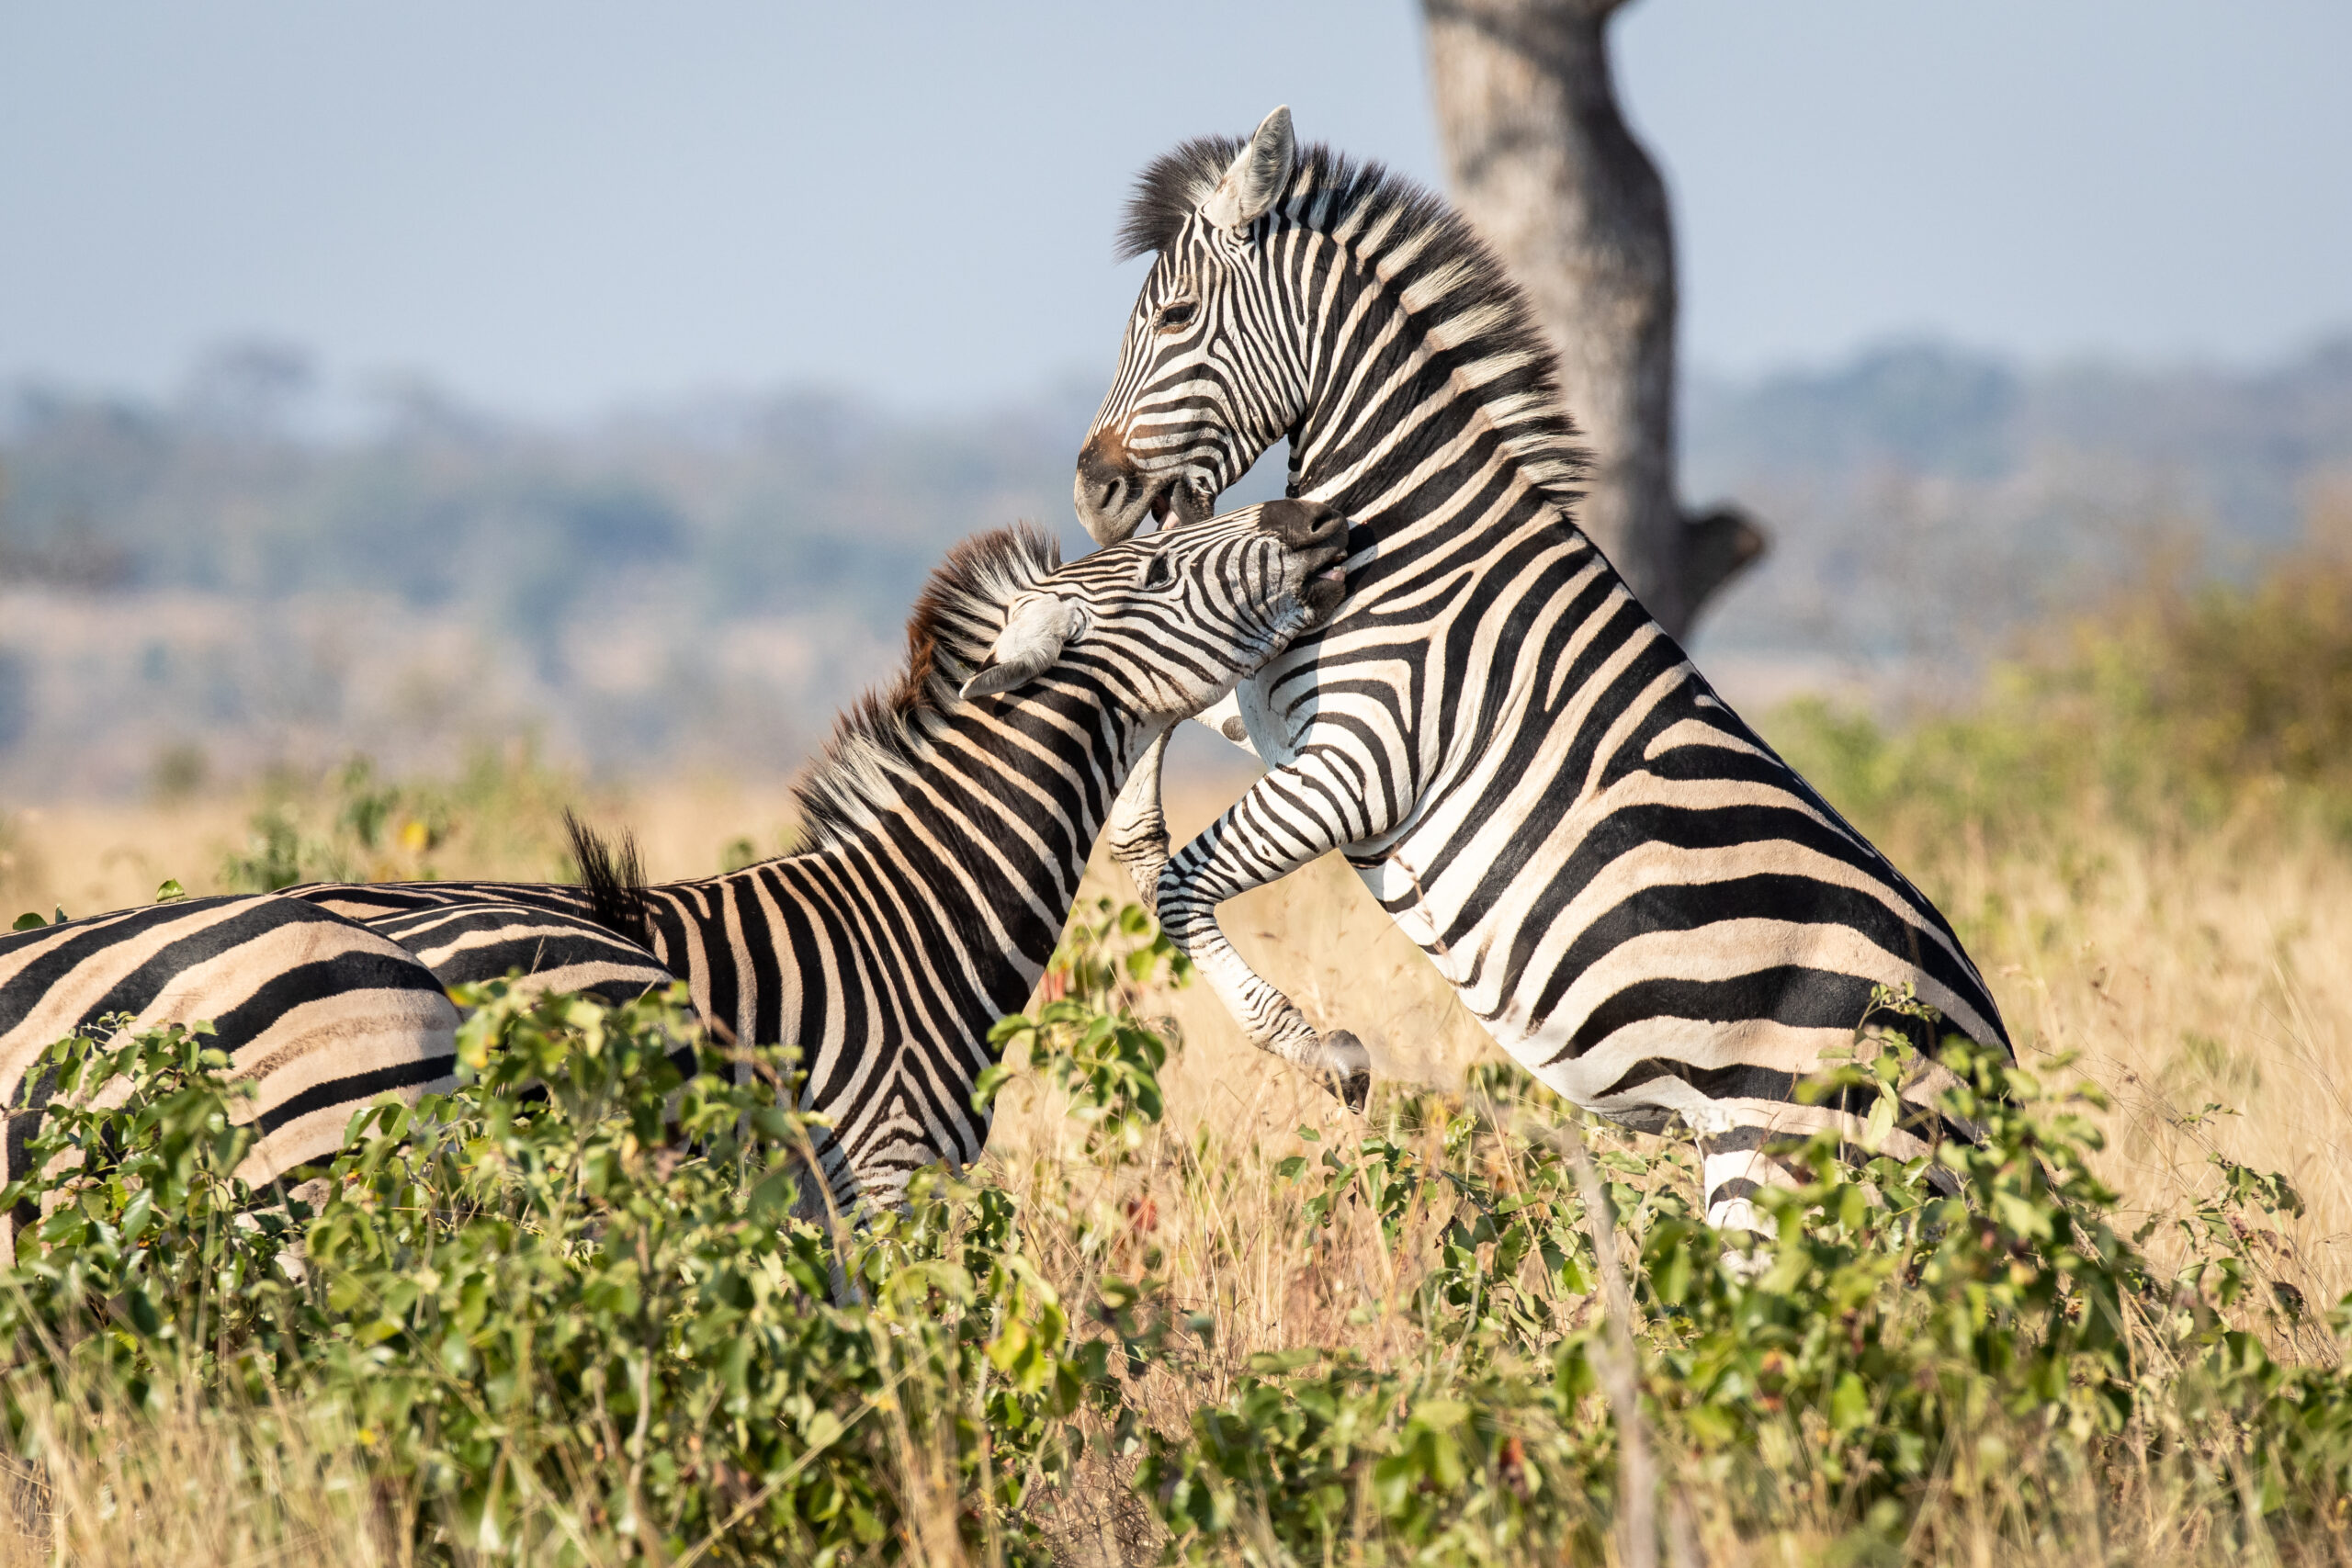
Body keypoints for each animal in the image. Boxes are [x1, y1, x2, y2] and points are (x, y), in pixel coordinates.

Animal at [1072, 107, 2012, 1231]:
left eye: (1173, 317)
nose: (1089, 491)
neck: (1411, 528)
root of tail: (1995, 1056)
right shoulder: (1274, 709)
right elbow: (1166, 702)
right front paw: (1128, 819)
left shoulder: (1365, 763)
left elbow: (1180, 887)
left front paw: (1321, 1052)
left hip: (1792, 1166)